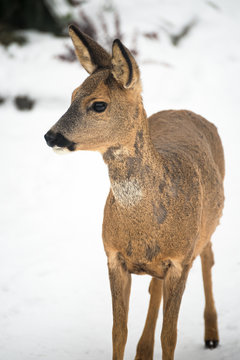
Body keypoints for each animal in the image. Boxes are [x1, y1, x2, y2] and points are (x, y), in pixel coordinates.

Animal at [44, 25, 224, 360]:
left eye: (98, 104)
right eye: (73, 95)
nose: (51, 136)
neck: (144, 226)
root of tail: (186, 111)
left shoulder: (180, 260)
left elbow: (170, 335)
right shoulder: (113, 256)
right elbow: (118, 331)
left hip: (206, 229)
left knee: (208, 258)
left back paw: (211, 335)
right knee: (154, 288)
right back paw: (144, 350)